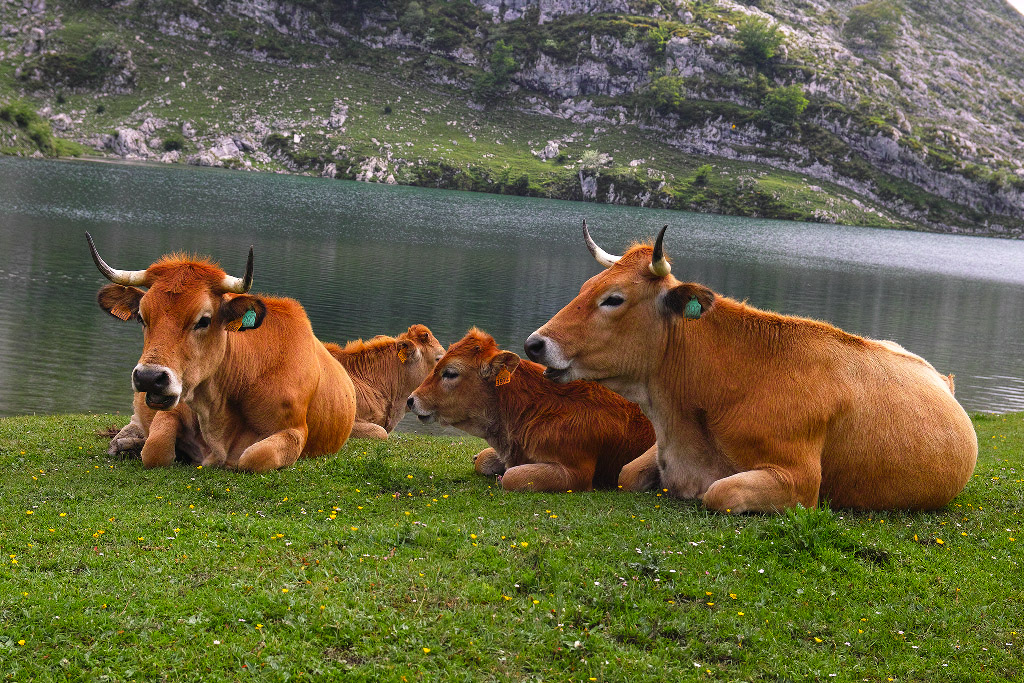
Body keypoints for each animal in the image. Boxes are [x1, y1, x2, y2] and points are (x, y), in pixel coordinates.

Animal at [87, 232, 357, 472]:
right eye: (142, 317)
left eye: (204, 320)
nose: (149, 378)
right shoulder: (172, 409)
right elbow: (155, 449)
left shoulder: (294, 431)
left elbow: (253, 458)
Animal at [524, 221, 978, 513]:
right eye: (586, 287)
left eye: (613, 299)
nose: (534, 344)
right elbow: (627, 473)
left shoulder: (799, 482)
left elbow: (719, 494)